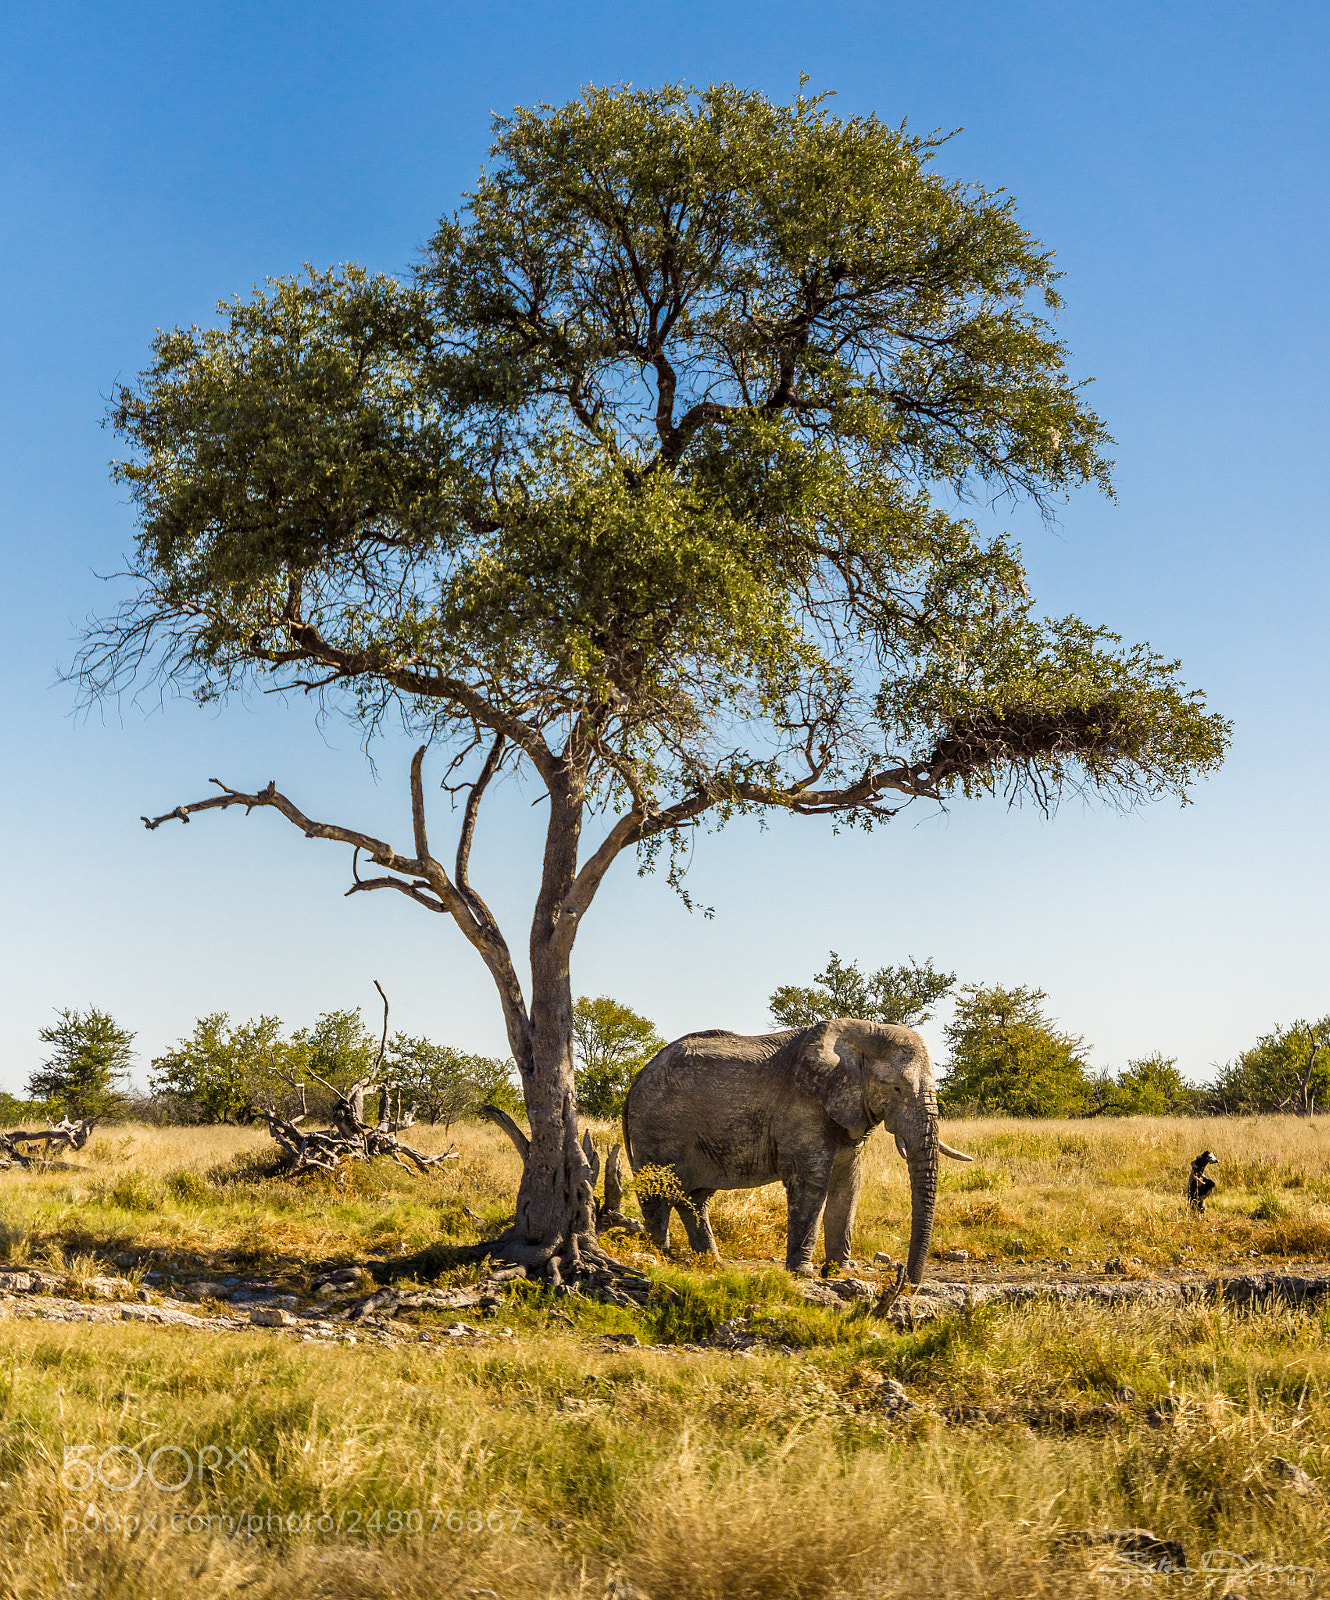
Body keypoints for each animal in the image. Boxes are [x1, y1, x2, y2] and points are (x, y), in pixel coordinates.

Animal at [622, 1019, 974, 1284]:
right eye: (897, 1088)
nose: (908, 1283)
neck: (864, 1032)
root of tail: (636, 1079)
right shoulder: (804, 1107)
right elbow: (812, 1183)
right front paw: (803, 1274)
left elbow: (849, 1185)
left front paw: (840, 1272)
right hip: (656, 1127)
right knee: (658, 1195)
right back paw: (659, 1258)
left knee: (695, 1199)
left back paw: (712, 1266)